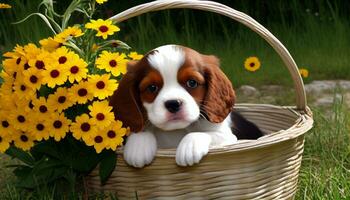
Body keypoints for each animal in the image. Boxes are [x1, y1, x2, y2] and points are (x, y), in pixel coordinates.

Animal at [110, 45, 262, 167]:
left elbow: (202, 133)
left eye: (192, 83)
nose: (173, 104)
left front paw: (189, 148)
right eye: (152, 87)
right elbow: (140, 131)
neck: (176, 131)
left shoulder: (229, 138)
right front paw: (137, 147)